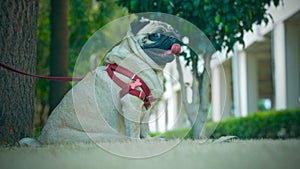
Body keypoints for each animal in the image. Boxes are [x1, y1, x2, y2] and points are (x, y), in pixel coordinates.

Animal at [34, 18, 180, 144]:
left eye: (174, 33)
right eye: (156, 35)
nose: (173, 38)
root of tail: (41, 140)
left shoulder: (145, 108)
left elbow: (144, 127)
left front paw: (150, 140)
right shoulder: (132, 101)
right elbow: (135, 129)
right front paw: (139, 144)